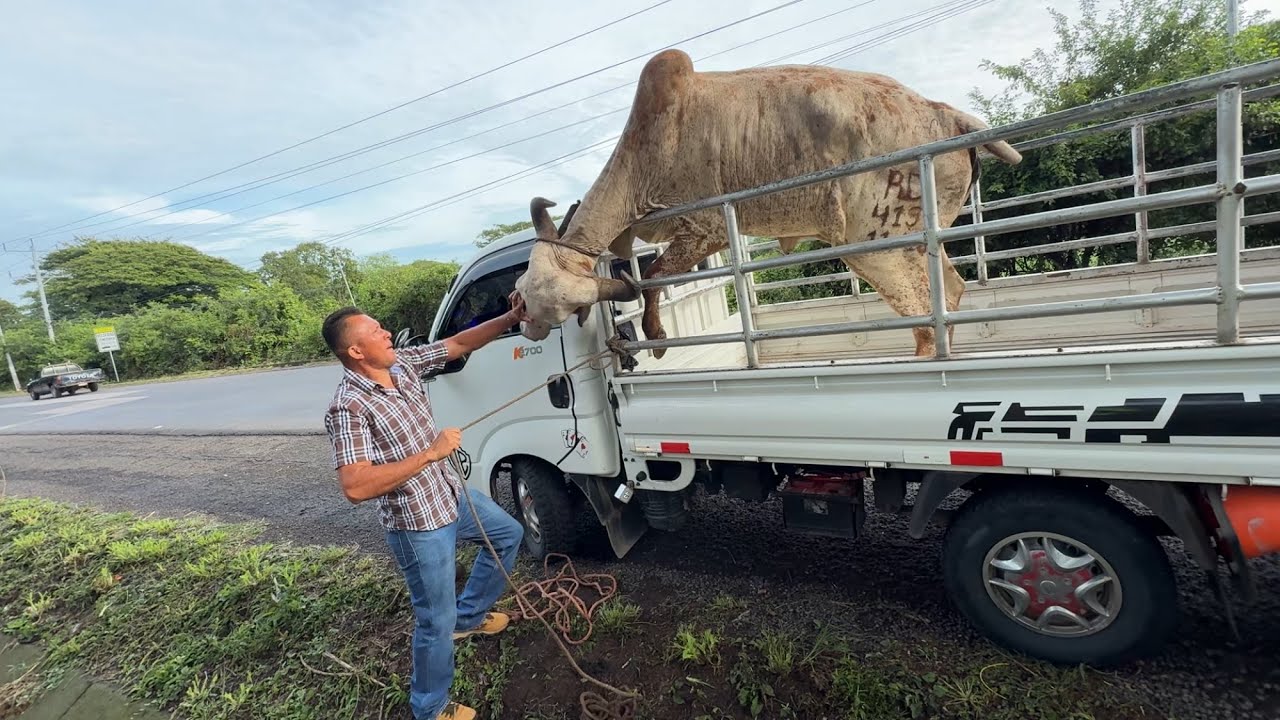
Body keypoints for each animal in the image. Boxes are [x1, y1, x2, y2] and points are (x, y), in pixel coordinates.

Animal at [511, 48, 1022, 359]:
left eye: (547, 304)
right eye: (521, 287)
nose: (524, 326)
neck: (643, 160)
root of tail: (948, 116)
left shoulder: (706, 228)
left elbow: (654, 277)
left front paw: (656, 338)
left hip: (880, 245)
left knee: (927, 311)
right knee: (952, 291)